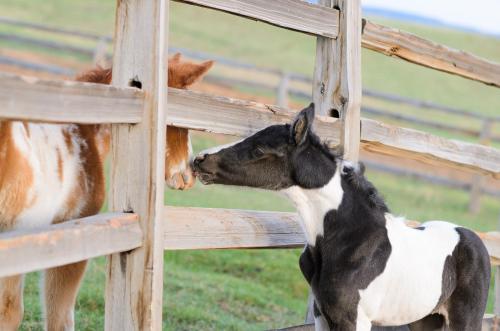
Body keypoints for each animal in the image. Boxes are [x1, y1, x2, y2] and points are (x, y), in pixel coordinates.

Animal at [193, 104, 490, 331]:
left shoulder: (353, 319)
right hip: (425, 319)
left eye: (259, 150)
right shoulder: (322, 314)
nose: (199, 160)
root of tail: (473, 237)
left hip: (465, 318)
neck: (348, 238)